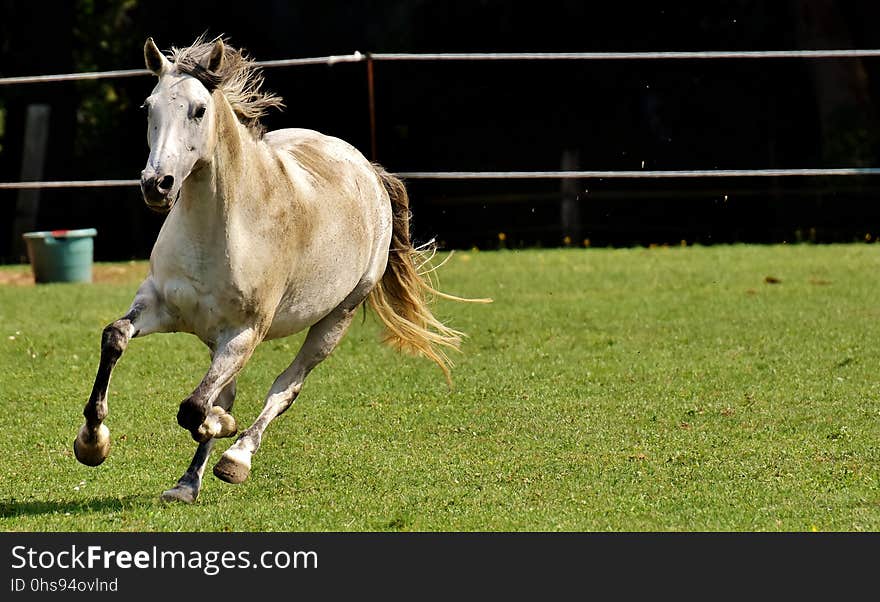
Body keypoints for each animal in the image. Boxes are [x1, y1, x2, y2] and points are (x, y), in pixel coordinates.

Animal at [73, 35, 488, 500]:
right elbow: (115, 338)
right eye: (149, 107)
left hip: (334, 321)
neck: (218, 231)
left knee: (284, 389)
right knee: (227, 391)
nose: (156, 185)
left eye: (199, 110)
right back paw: (187, 483)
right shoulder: (161, 305)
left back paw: (236, 458)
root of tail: (368, 170)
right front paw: (92, 442)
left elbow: (195, 408)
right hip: (216, 337)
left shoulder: (245, 333)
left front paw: (220, 428)